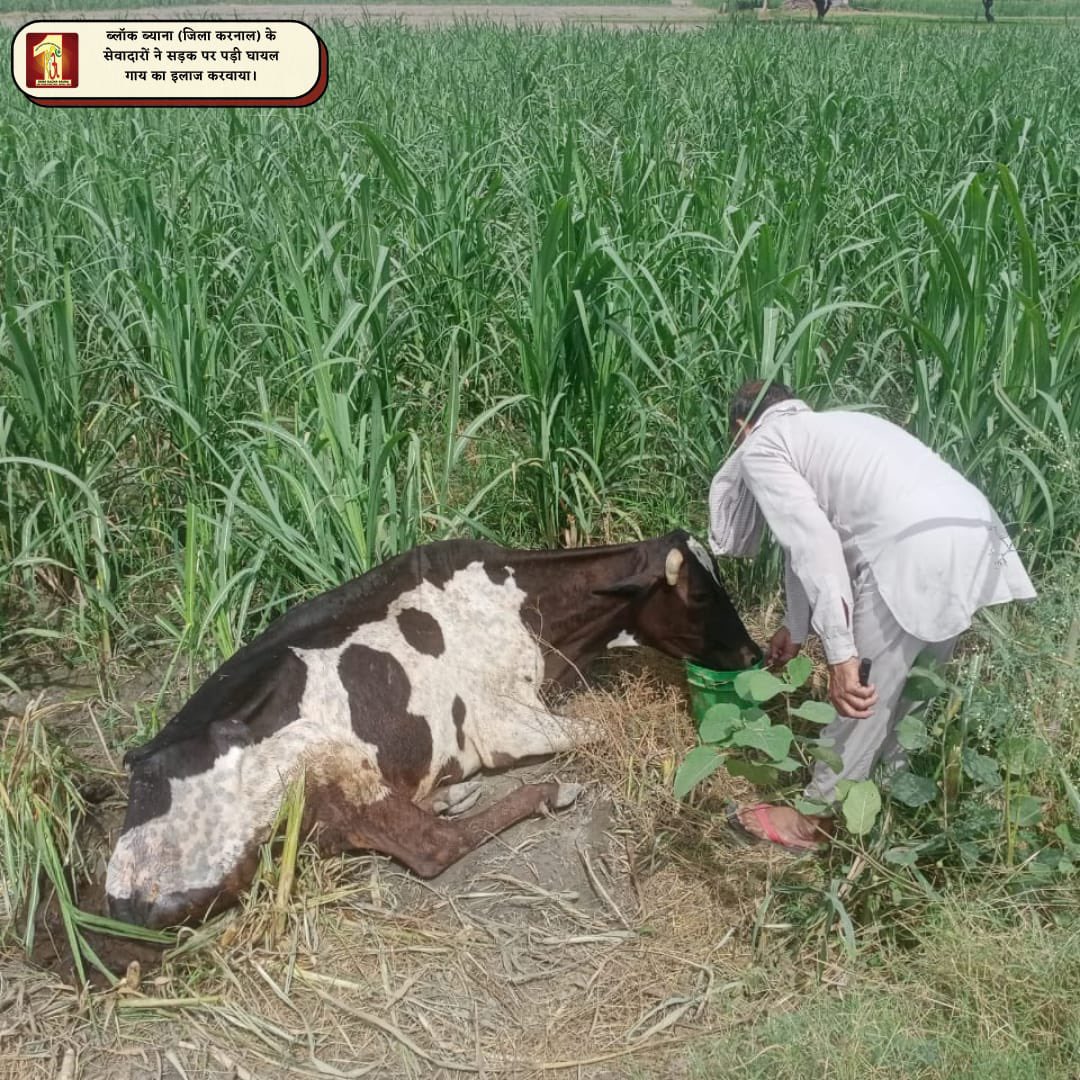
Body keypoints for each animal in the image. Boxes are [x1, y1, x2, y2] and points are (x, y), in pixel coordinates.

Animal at [106, 530, 761, 929]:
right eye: (699, 595)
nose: (756, 653)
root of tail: (126, 887)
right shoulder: (504, 722)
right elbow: (602, 733)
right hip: (320, 753)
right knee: (428, 846)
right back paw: (543, 793)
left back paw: (450, 793)